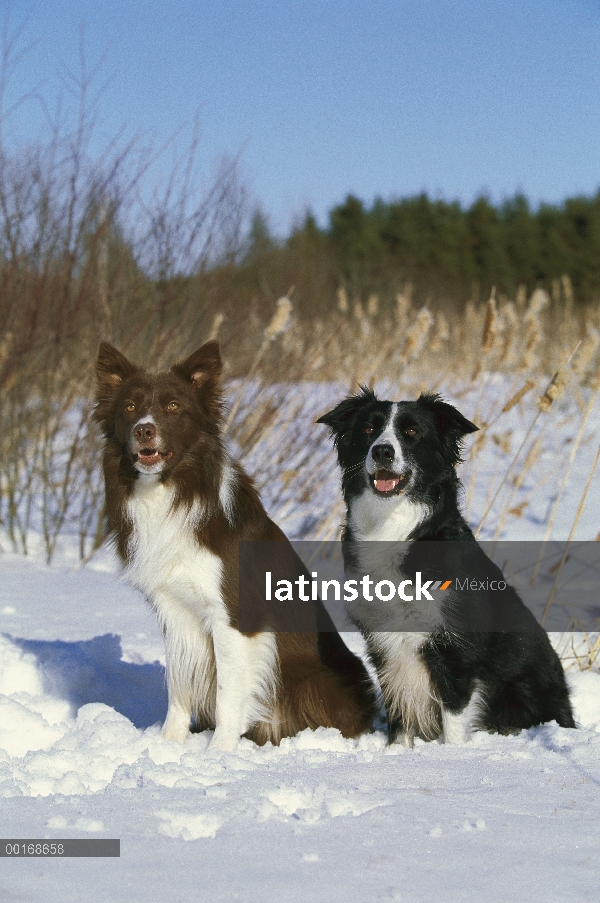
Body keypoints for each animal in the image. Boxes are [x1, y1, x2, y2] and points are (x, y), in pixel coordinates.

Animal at [94, 340, 376, 748]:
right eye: (129, 407)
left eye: (173, 406)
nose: (144, 431)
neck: (172, 490)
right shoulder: (173, 610)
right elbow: (178, 683)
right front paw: (168, 744)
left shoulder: (233, 616)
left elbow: (229, 694)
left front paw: (219, 752)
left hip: (316, 680)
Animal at [318, 390, 576, 748]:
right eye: (369, 430)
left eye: (412, 432)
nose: (382, 451)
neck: (393, 527)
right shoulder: (385, 648)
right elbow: (399, 716)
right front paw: (396, 754)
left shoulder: (458, 652)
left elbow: (453, 719)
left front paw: (451, 757)